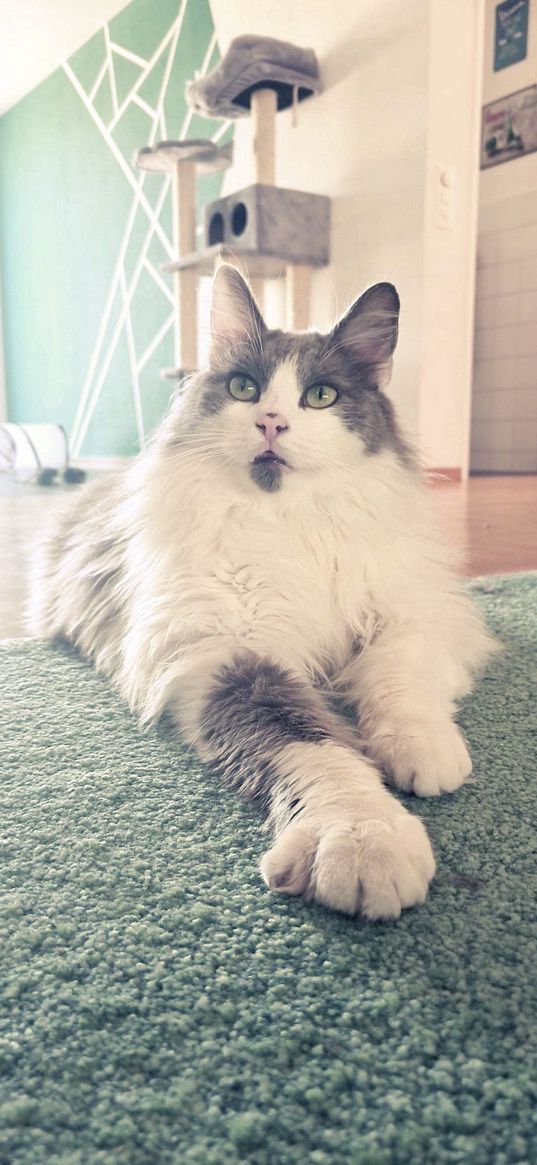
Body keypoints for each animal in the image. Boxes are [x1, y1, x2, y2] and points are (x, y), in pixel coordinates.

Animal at [31, 264, 496, 918]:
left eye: (321, 396)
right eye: (244, 388)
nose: (271, 423)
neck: (292, 522)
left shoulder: (407, 613)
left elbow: (397, 682)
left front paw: (420, 749)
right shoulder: (231, 655)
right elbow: (313, 748)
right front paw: (362, 836)